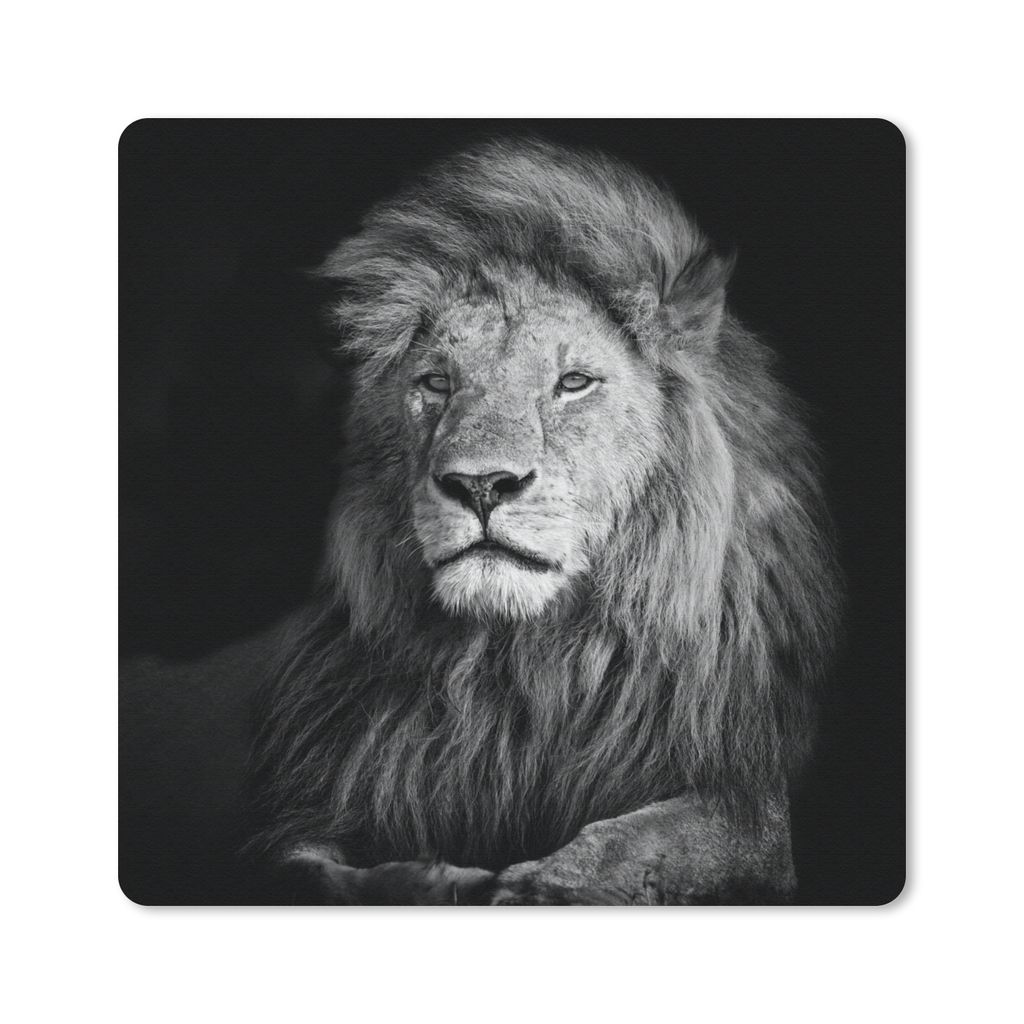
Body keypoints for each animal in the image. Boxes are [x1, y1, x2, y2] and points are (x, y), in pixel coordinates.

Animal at [246, 139, 841, 904]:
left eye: (573, 383)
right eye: (435, 382)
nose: (480, 484)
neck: (521, 666)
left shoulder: (749, 801)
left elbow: (642, 838)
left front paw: (540, 886)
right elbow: (306, 871)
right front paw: (434, 881)